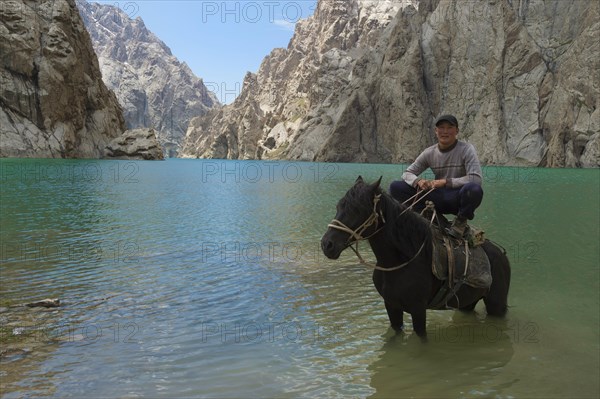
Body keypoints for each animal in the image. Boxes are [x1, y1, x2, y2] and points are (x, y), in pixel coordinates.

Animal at [322, 177, 508, 340]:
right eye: (338, 206)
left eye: (358, 209)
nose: (327, 245)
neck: (399, 262)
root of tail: (501, 254)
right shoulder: (391, 306)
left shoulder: (418, 310)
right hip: (466, 304)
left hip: (496, 305)